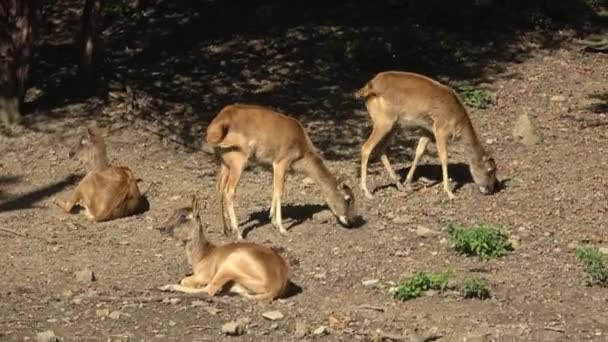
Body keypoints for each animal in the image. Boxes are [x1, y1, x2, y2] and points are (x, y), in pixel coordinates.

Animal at [156, 195, 290, 302]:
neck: (204, 254)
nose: (161, 228)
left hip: (228, 266)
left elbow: (186, 280)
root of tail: (277, 284)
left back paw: (165, 287)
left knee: (209, 290)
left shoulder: (205, 276)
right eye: (173, 213)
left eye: (183, 217)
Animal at [204, 103, 356, 239]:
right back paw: (238, 234)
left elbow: (274, 189)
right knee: (229, 191)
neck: (301, 148)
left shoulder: (273, 167)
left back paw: (226, 229)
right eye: (348, 198)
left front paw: (272, 220)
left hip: (224, 164)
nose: (350, 221)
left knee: (218, 188)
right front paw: (282, 228)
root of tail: (220, 122)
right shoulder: (281, 162)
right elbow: (280, 192)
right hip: (238, 162)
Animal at [356, 72, 498, 200]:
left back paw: (399, 186)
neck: (457, 120)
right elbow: (444, 157)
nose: (490, 190)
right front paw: (450, 193)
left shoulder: (427, 131)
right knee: (366, 148)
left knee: (381, 150)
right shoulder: (441, 130)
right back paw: (367, 192)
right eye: (490, 170)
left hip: (394, 125)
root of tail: (370, 87)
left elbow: (420, 152)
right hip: (383, 123)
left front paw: (408, 184)